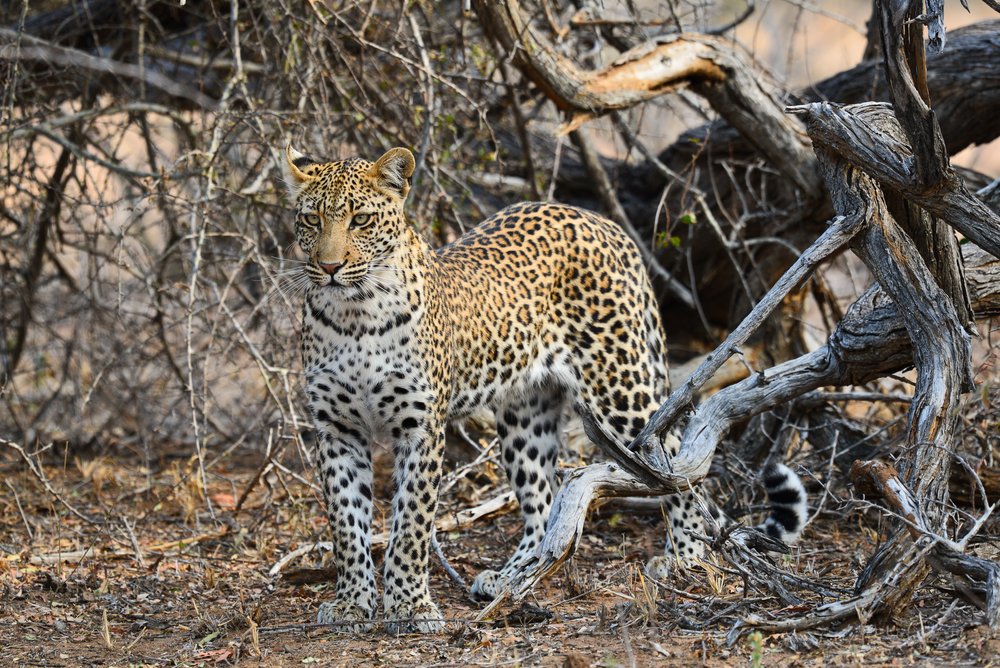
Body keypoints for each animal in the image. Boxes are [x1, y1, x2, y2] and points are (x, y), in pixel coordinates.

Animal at [280, 145, 804, 632]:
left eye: (361, 219)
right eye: (310, 219)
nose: (329, 266)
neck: (354, 315)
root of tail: (603, 222)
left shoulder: (420, 428)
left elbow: (410, 522)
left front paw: (410, 605)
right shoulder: (337, 430)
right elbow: (346, 522)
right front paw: (352, 603)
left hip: (621, 385)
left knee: (674, 462)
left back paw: (686, 556)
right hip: (524, 414)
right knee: (543, 499)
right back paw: (514, 576)